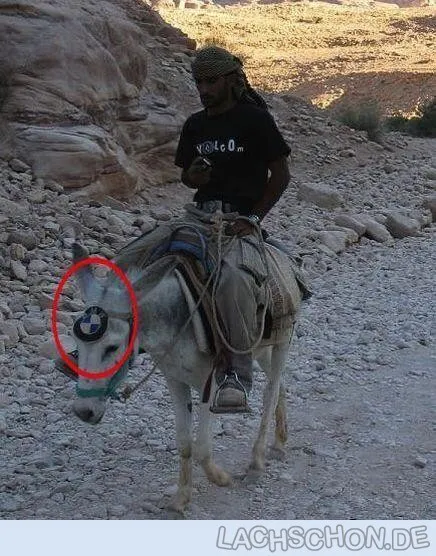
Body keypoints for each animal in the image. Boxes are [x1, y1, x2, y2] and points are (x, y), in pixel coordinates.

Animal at [67, 229, 303, 513]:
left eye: (112, 347)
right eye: (76, 342)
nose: (84, 412)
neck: (178, 320)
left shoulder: (210, 382)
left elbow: (201, 447)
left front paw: (220, 478)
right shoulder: (175, 380)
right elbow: (184, 443)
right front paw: (181, 499)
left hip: (282, 340)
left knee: (270, 392)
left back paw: (257, 461)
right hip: (262, 348)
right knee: (281, 385)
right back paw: (279, 443)